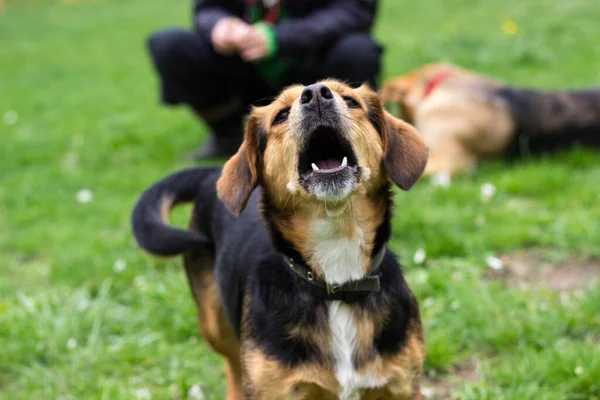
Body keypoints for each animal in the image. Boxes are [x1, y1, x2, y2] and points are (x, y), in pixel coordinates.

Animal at [133, 81, 428, 400]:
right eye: (280, 115)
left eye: (351, 101)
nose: (316, 94)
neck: (336, 280)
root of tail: (212, 172)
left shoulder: (401, 386)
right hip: (214, 323)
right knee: (233, 366)